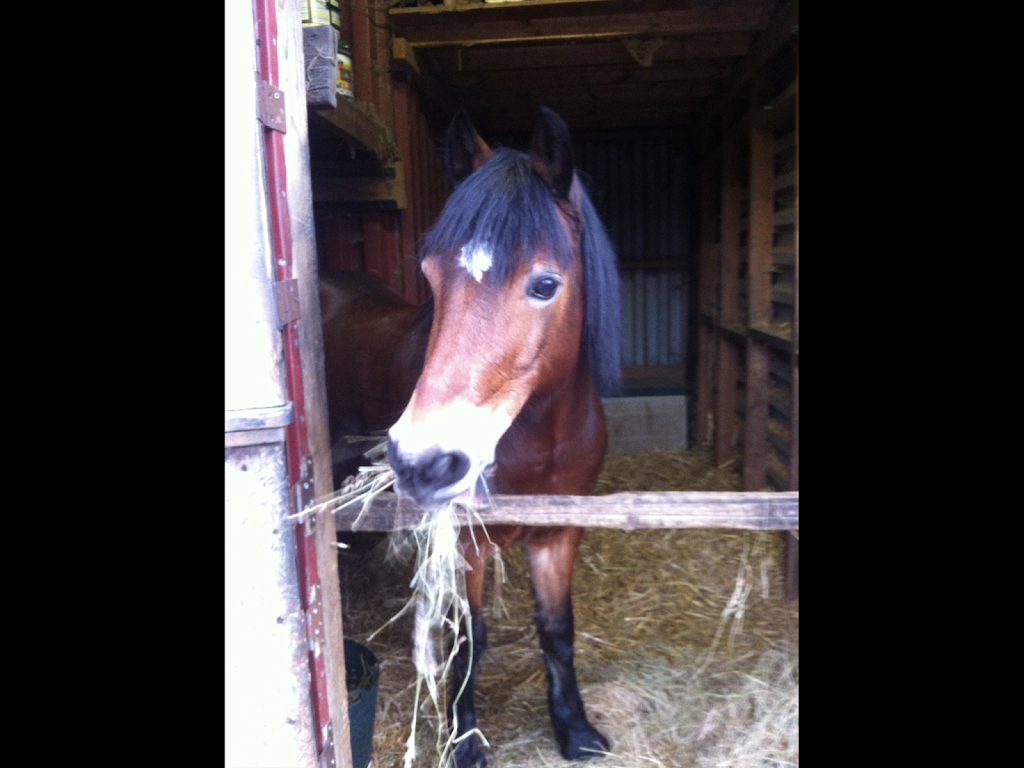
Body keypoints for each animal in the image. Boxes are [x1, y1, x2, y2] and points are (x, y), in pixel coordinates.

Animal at [323, 108, 618, 768]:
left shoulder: (559, 535)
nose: (423, 460)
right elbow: (468, 639)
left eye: (545, 284)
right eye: (432, 278)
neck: (541, 441)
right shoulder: (464, 542)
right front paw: (464, 742)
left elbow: (556, 630)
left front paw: (575, 730)